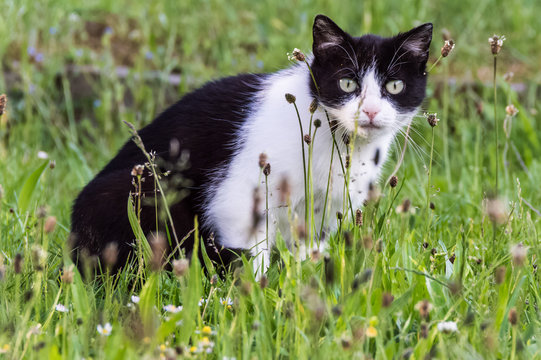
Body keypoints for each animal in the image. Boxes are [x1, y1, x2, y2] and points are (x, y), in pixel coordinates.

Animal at [71, 14, 432, 276]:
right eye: (347, 83)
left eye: (395, 86)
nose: (369, 111)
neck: (337, 142)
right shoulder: (239, 195)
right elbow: (250, 252)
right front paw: (252, 296)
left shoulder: (328, 206)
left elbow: (309, 246)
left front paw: (304, 279)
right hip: (146, 190)